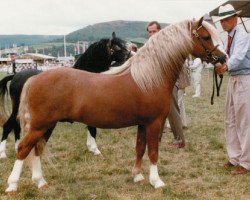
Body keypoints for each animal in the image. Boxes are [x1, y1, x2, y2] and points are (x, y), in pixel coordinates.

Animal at [0, 32, 130, 158]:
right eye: (117, 47)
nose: (130, 55)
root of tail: (15, 75)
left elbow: (90, 127)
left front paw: (91, 147)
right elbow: (92, 129)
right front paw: (95, 149)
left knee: (16, 126)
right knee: (8, 125)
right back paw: (3, 153)